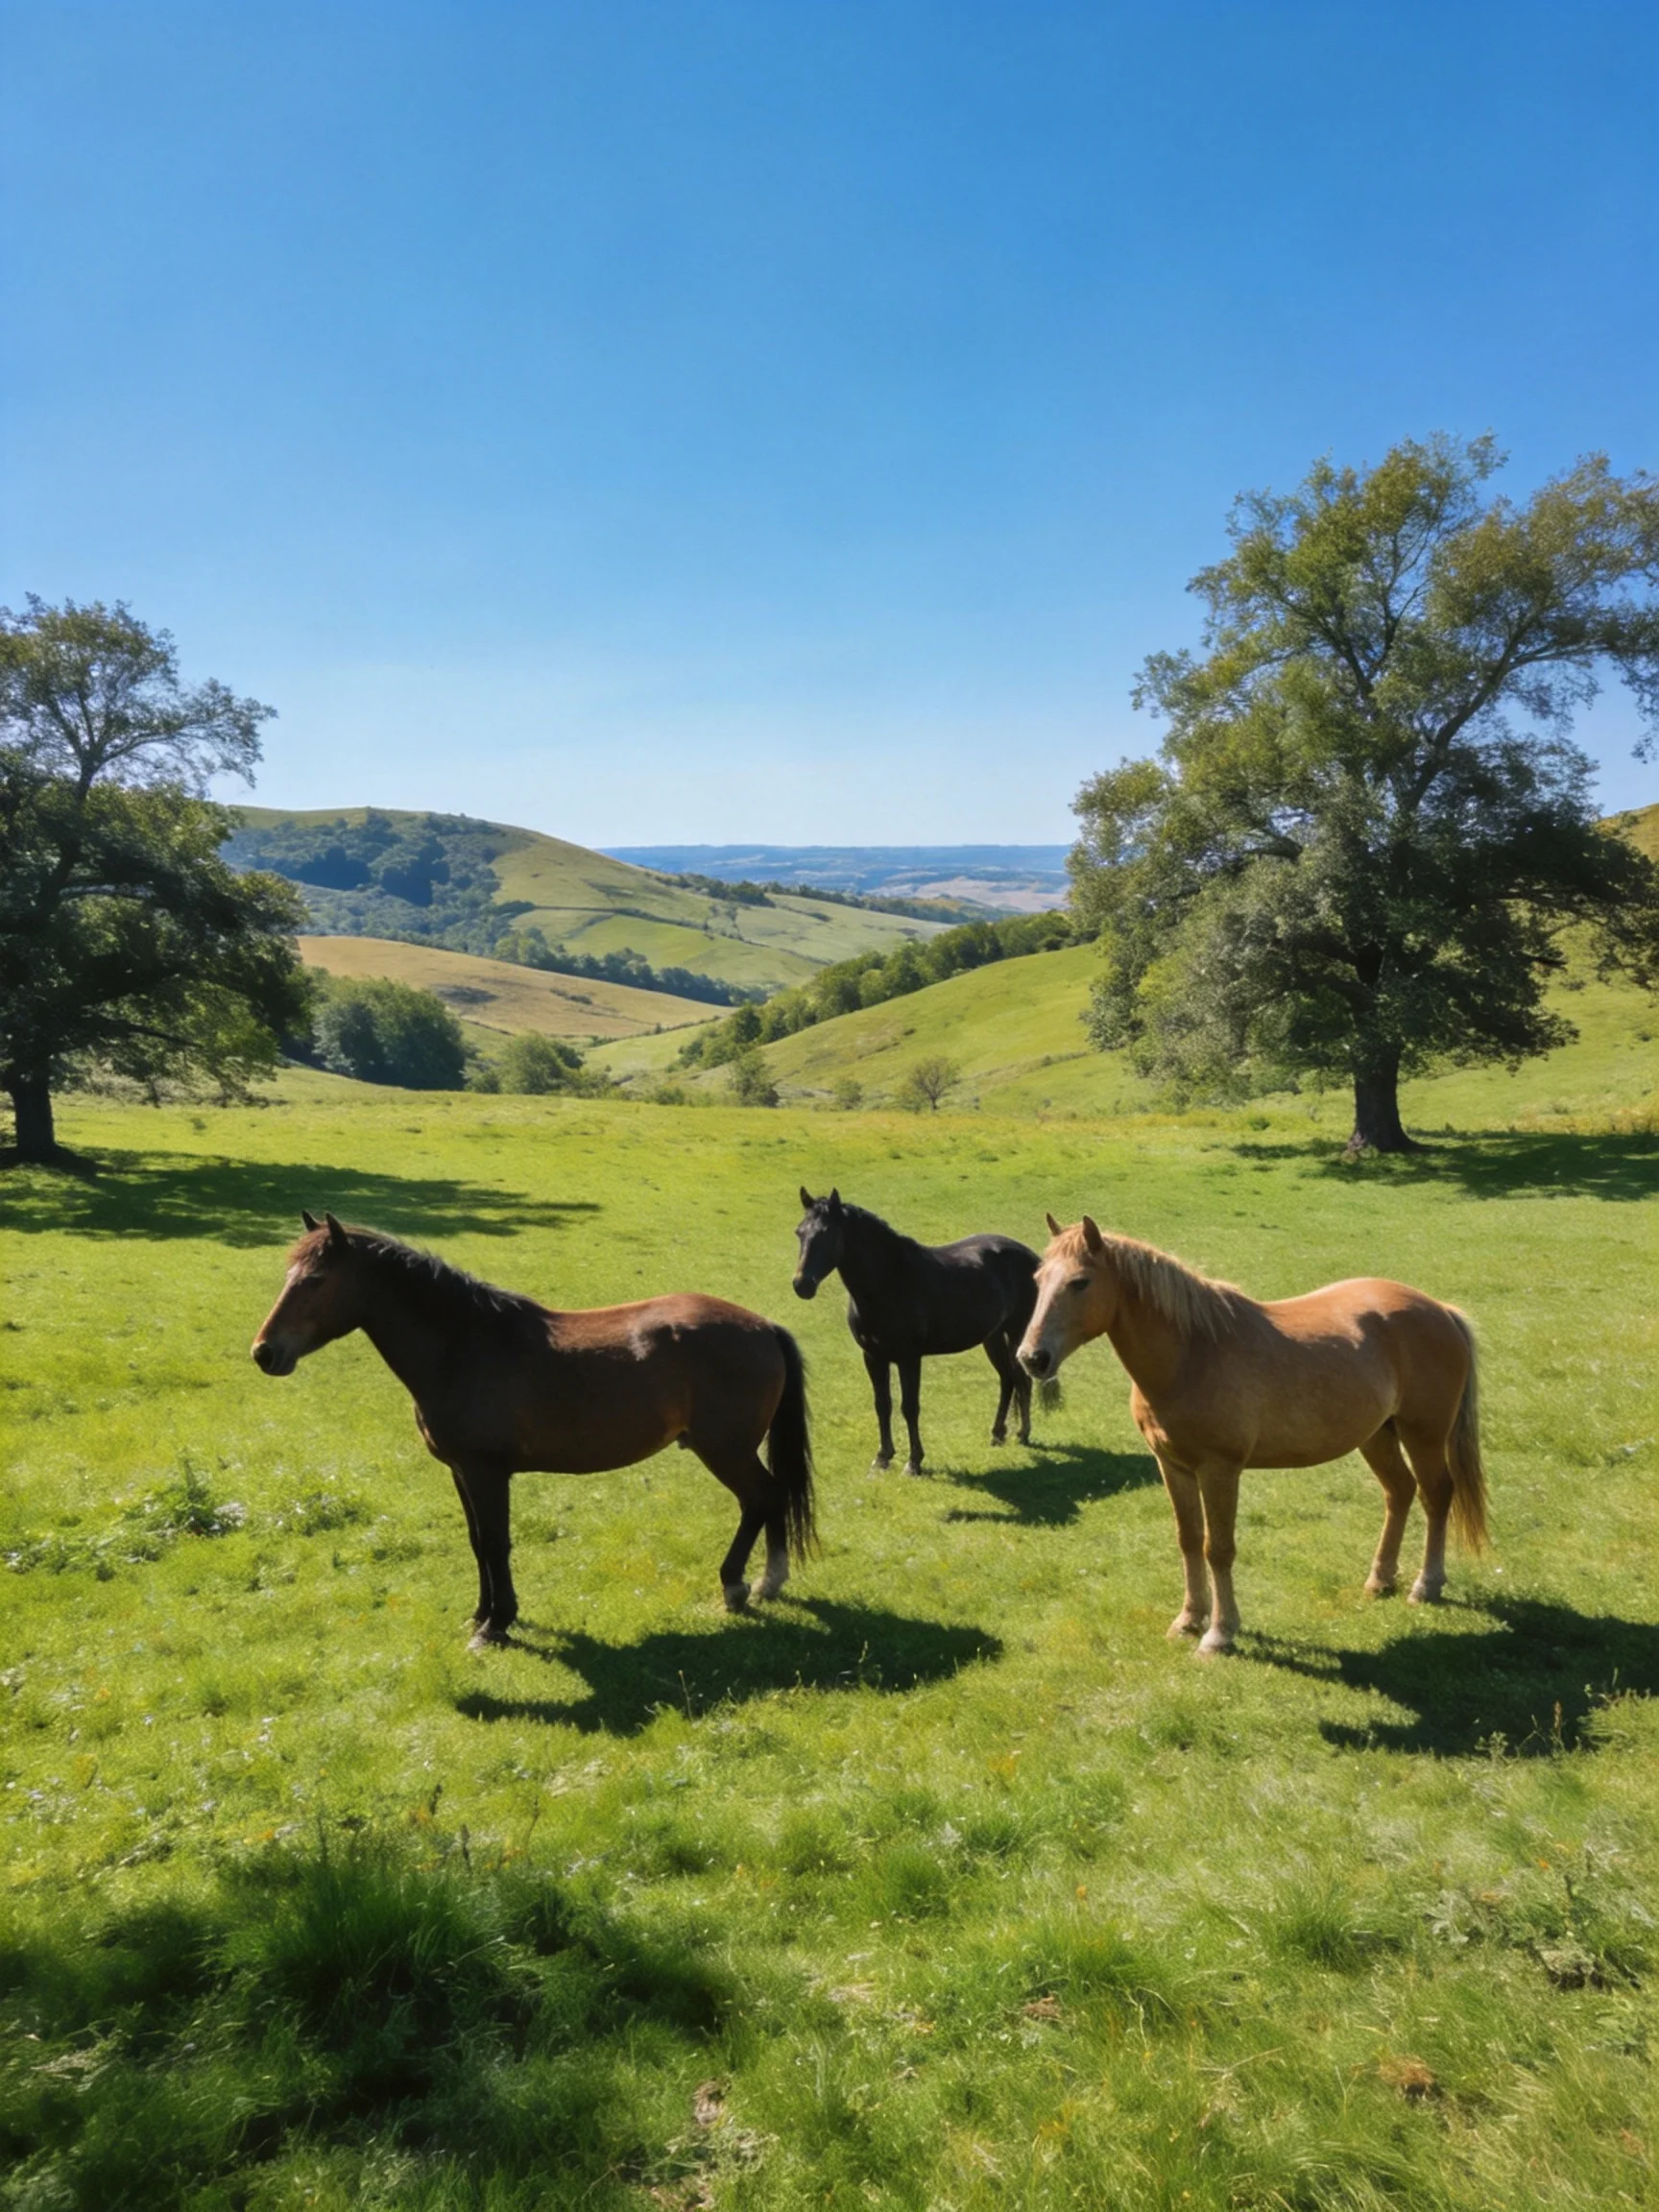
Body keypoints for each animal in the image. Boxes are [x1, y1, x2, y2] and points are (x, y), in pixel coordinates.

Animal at [251, 1212, 815, 1647]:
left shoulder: (487, 1473)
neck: (464, 1346)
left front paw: (496, 1625)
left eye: (315, 1281)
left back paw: (740, 1584)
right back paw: (768, 1581)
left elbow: (496, 1543)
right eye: (289, 1275)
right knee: (769, 1499)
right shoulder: (461, 1472)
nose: (264, 1352)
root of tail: (764, 1327)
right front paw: (481, 1614)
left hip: (726, 1450)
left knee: (761, 1498)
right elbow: (478, 1542)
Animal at [792, 1187, 1054, 1475]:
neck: (890, 1281)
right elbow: (882, 1405)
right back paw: (997, 1434)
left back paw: (1023, 1433)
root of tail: (1031, 1258)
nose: (802, 1285)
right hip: (993, 1337)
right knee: (1007, 1380)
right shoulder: (873, 1357)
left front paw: (913, 1462)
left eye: (828, 1233)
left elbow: (909, 1407)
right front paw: (882, 1458)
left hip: (1017, 1333)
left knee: (1023, 1379)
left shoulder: (909, 1358)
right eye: (800, 1232)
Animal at [1018, 1214, 1487, 1655]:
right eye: (1037, 1281)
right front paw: (1188, 1620)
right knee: (1399, 1491)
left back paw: (1426, 1585)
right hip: (1376, 1434)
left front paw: (1219, 1634)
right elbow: (1189, 1540)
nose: (1032, 1358)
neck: (1192, 1354)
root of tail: (1440, 1309)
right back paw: (1380, 1580)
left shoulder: (1219, 1470)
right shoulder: (1172, 1466)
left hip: (1423, 1434)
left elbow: (1218, 1548)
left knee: (1435, 1495)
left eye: (1080, 1282)